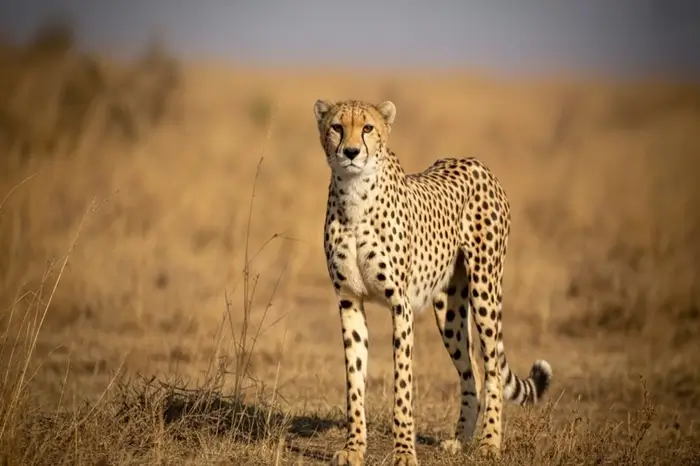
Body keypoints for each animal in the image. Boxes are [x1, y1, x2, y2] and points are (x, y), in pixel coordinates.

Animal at [313, 98, 552, 466]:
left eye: (367, 128)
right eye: (337, 127)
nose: (351, 152)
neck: (354, 196)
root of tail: (473, 161)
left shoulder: (400, 305)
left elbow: (402, 385)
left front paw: (403, 452)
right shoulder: (349, 300)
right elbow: (354, 382)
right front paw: (353, 448)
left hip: (485, 288)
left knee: (492, 369)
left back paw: (489, 444)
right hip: (450, 310)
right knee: (472, 372)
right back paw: (461, 441)